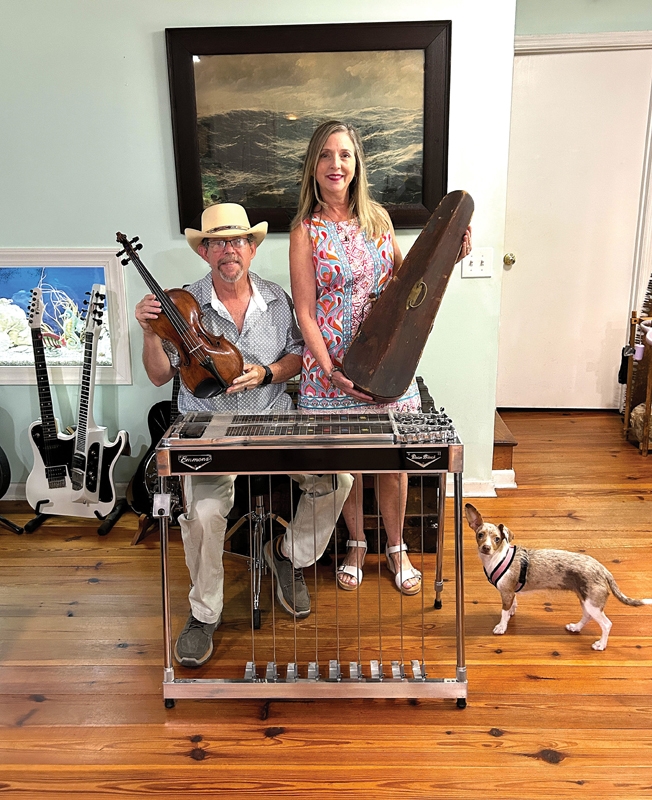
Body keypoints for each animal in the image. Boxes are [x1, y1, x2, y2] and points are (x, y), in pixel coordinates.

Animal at [464, 506, 652, 648]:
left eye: (497, 539)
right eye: (480, 535)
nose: (486, 547)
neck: (497, 558)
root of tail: (603, 570)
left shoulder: (506, 593)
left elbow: (503, 612)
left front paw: (502, 627)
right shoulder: (511, 593)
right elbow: (512, 606)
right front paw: (511, 613)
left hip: (593, 604)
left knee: (606, 624)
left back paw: (601, 645)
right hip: (586, 600)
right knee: (587, 616)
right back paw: (575, 627)